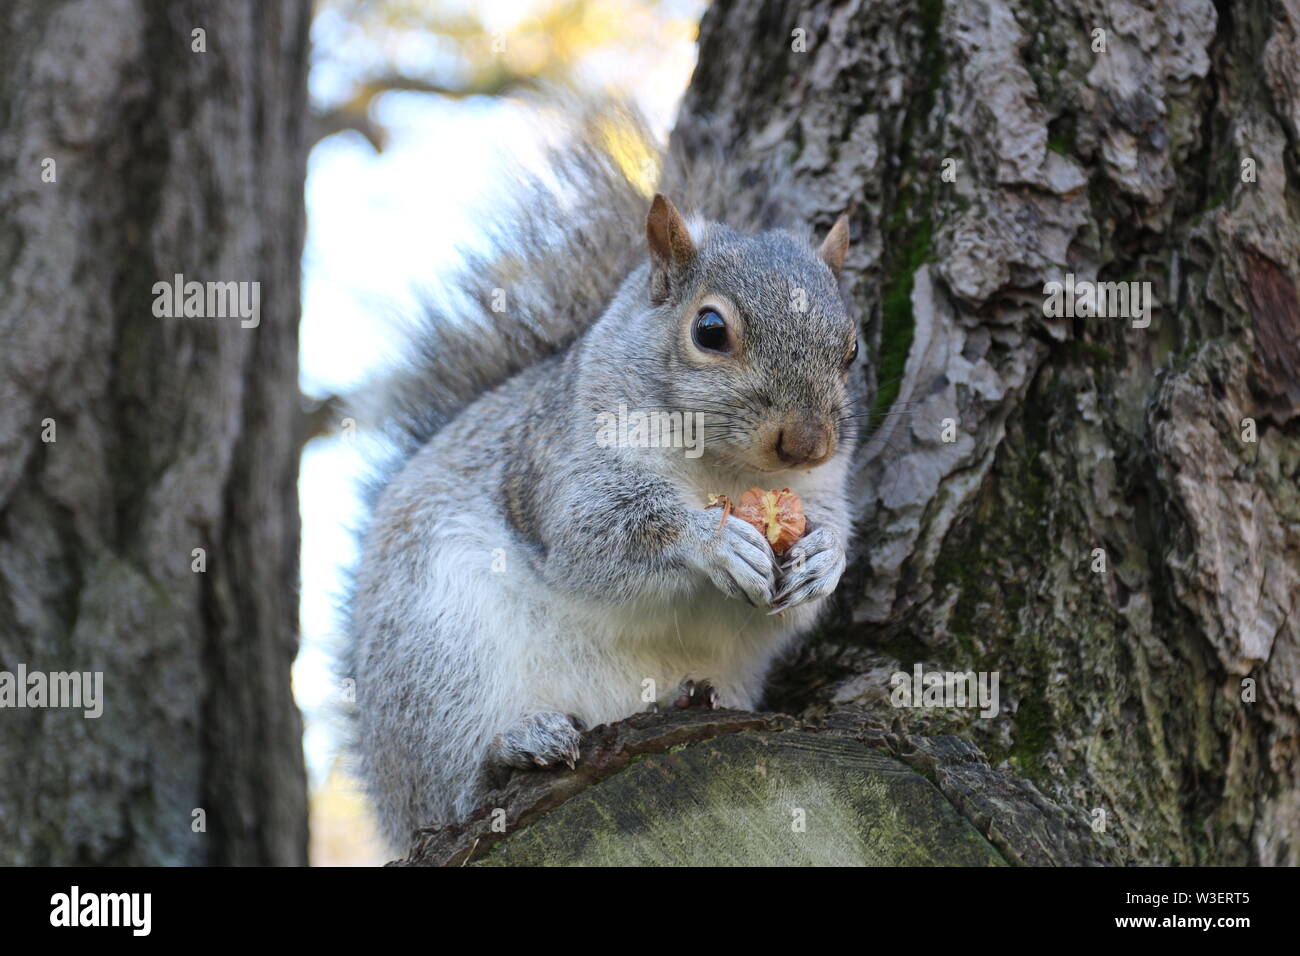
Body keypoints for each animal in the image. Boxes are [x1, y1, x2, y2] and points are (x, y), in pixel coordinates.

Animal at [345, 108, 863, 848]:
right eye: (710, 330)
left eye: (852, 350)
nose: (809, 443)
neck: (723, 469)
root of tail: (392, 798)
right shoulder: (560, 467)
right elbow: (596, 538)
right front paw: (711, 541)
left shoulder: (823, 489)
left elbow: (803, 592)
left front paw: (824, 557)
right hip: (435, 655)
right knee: (458, 788)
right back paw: (514, 748)